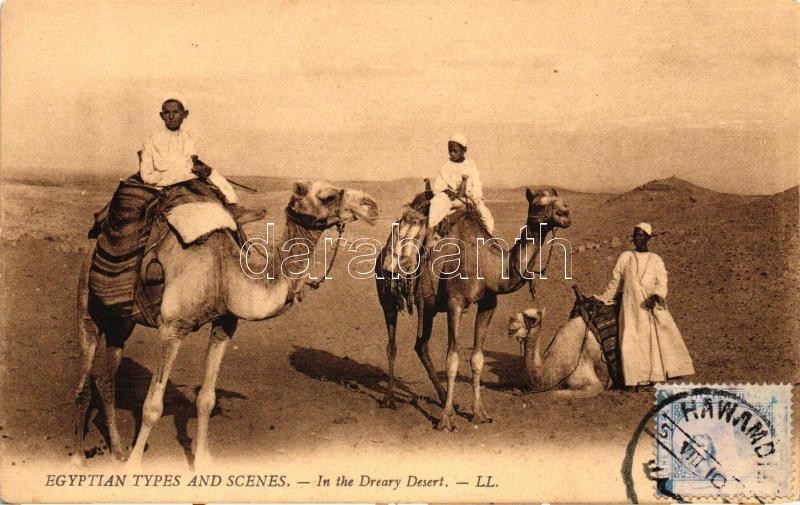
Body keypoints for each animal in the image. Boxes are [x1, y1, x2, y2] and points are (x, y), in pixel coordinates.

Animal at [72, 179, 378, 466]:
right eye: (327, 196)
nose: (371, 205)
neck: (223, 274)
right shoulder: (172, 328)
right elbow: (152, 407)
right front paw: (133, 468)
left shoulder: (225, 325)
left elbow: (206, 399)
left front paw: (202, 462)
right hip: (88, 305)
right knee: (85, 378)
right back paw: (78, 458)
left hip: (121, 320)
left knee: (106, 379)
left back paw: (118, 450)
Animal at [378, 189, 572, 430]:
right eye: (538, 204)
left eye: (561, 200)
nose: (565, 214)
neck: (488, 266)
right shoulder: (455, 302)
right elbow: (452, 360)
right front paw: (445, 420)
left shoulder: (489, 304)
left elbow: (477, 359)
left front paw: (478, 413)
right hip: (387, 298)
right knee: (392, 345)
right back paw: (389, 400)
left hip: (429, 307)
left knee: (421, 345)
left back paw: (444, 398)